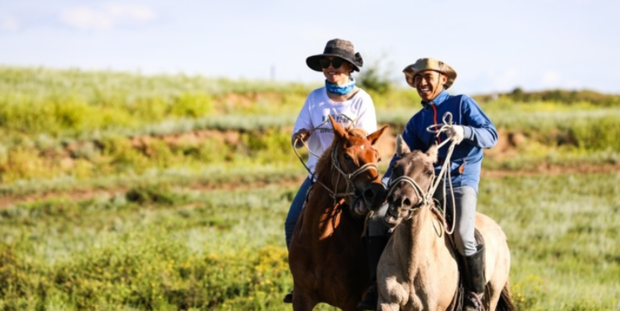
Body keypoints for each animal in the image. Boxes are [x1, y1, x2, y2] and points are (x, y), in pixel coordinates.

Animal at [288, 116, 386, 310]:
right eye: (347, 156)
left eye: (377, 158)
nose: (377, 193)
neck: (319, 241)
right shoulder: (301, 298)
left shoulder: (351, 302)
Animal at [378, 136, 512, 311]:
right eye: (395, 167)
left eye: (428, 172)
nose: (399, 202)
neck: (412, 264)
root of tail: (499, 230)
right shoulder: (387, 301)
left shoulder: (433, 307)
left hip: (493, 294)